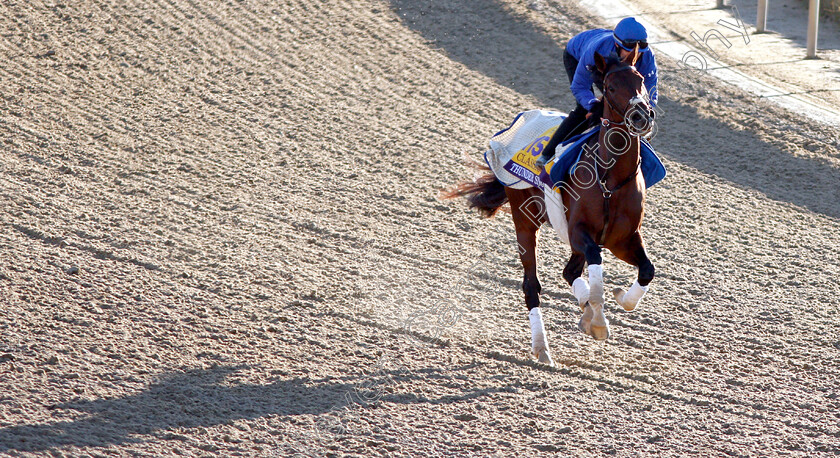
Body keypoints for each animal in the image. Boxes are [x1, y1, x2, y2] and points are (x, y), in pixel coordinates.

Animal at [452, 49, 656, 364]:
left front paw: (618, 299)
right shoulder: (578, 231)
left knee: (570, 272)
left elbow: (647, 269)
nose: (640, 116)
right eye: (610, 87)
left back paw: (584, 312)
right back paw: (542, 347)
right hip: (524, 220)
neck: (610, 178)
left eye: (641, 80)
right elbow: (595, 260)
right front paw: (598, 319)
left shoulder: (622, 239)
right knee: (531, 286)